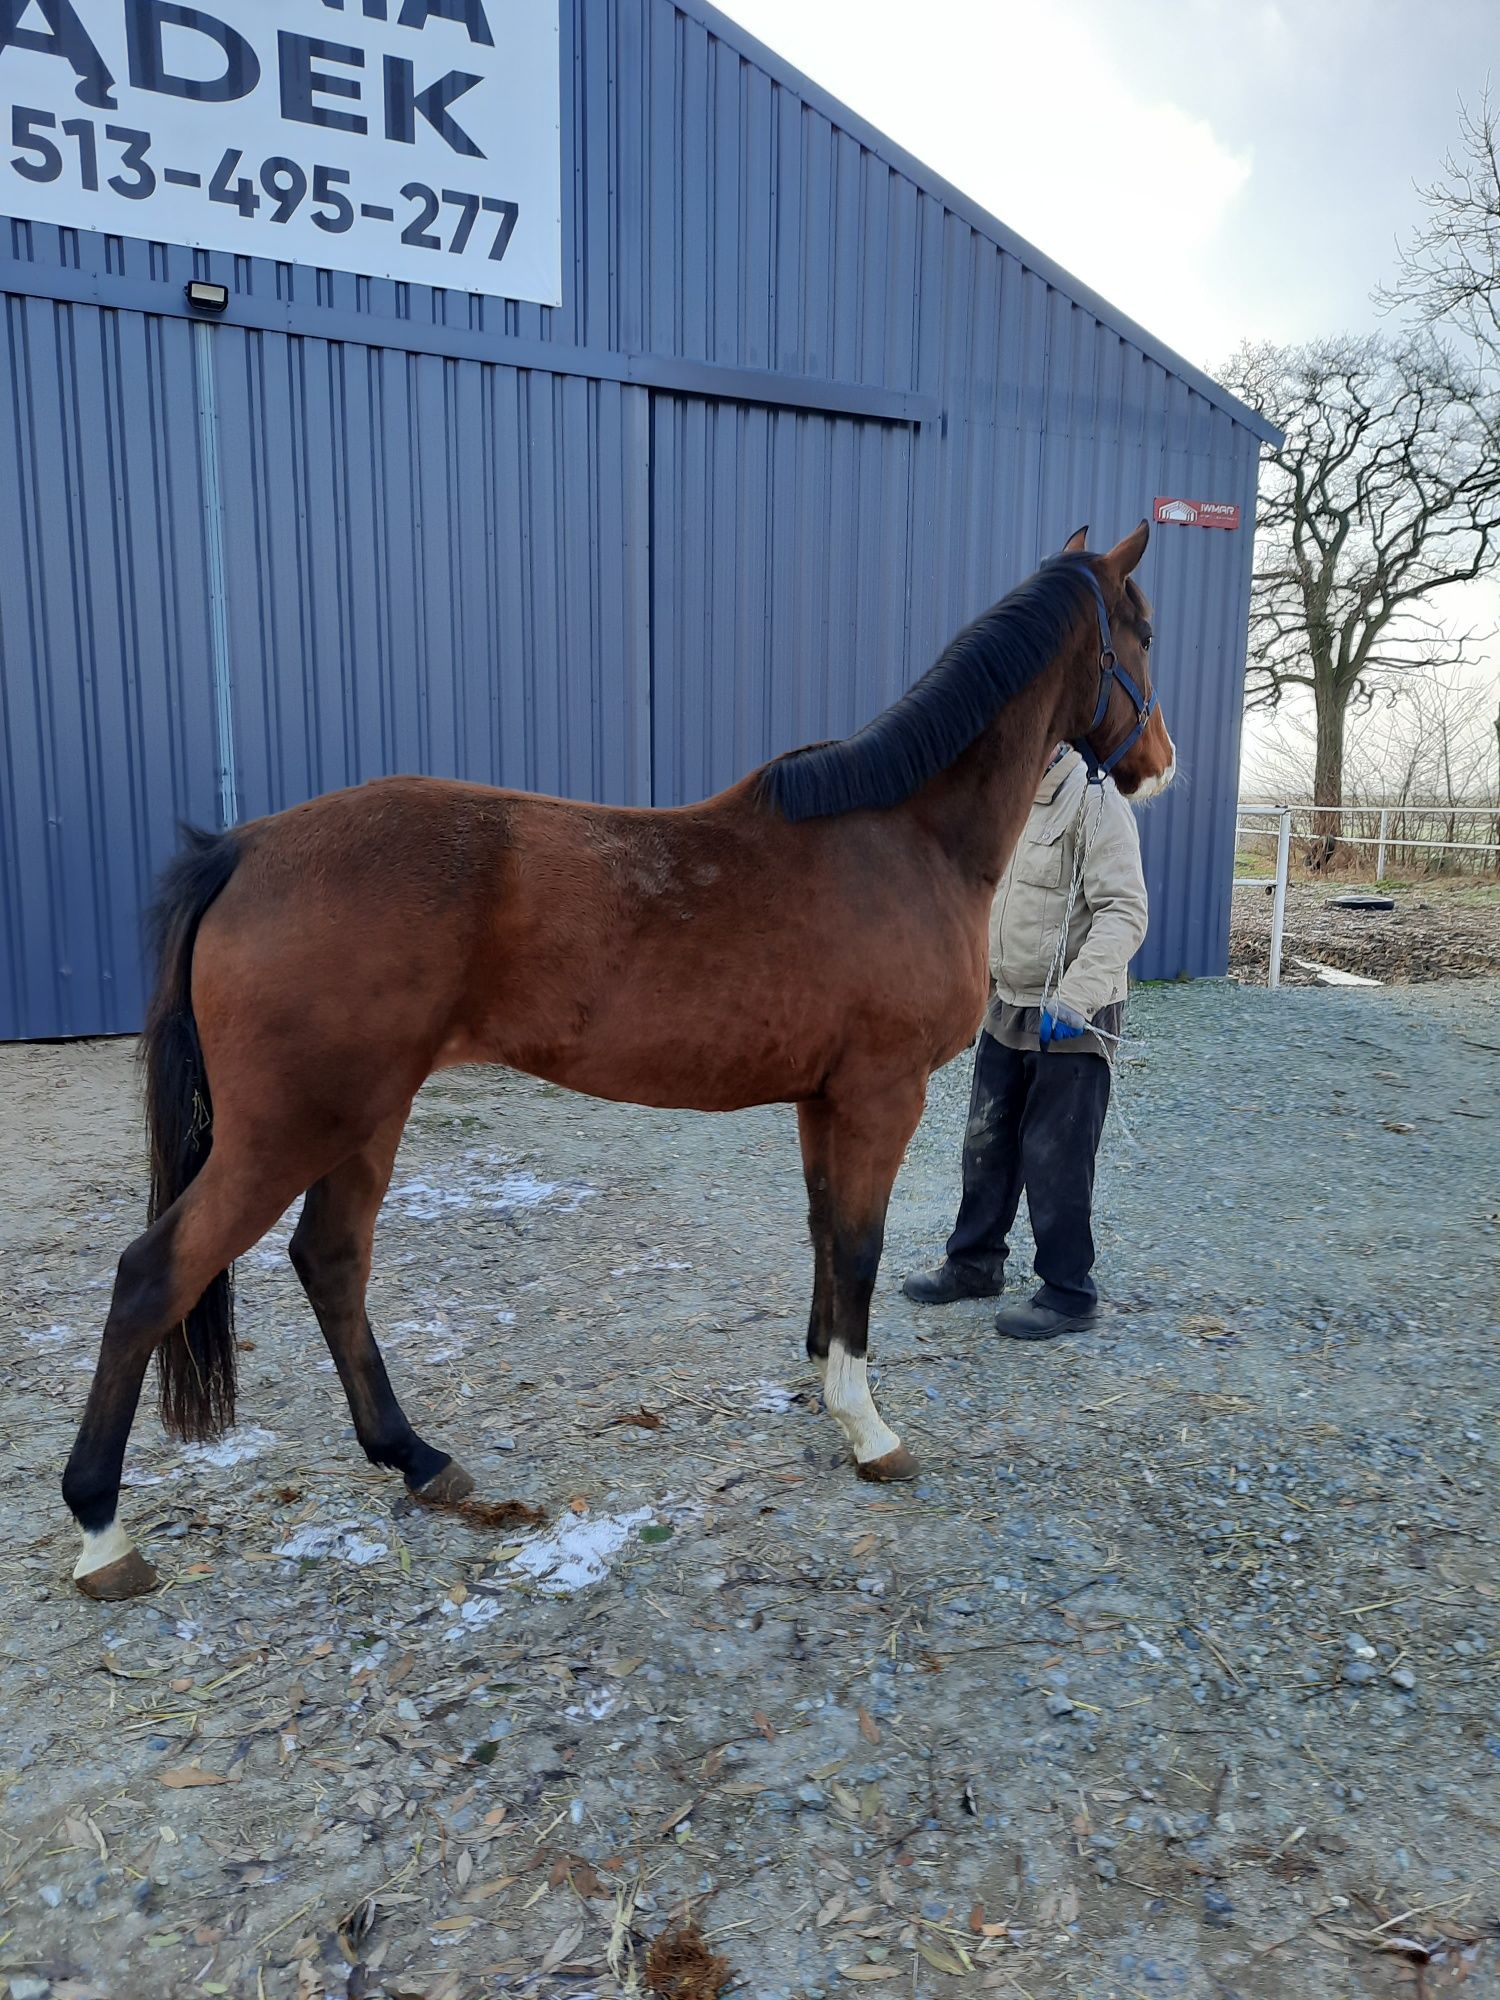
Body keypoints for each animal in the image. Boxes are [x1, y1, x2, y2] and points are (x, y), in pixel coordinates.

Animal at [61, 524, 1176, 1600]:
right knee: (154, 1275)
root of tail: (242, 849)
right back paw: (102, 1533)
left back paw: (418, 1458)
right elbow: (857, 1246)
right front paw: (868, 1428)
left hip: (363, 1117)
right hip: (292, 1127)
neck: (905, 837)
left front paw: (823, 1372)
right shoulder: (880, 1095)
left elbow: (824, 1231)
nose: (1159, 765)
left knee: (331, 1263)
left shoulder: (822, 1100)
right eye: (1147, 631)